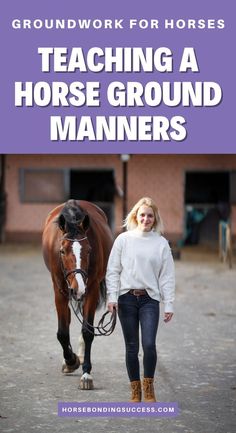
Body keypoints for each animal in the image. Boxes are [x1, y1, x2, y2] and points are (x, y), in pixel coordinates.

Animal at [42, 198, 114, 388]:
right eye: (62, 251)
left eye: (88, 250)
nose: (78, 288)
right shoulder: (59, 291)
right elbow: (62, 332)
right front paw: (70, 361)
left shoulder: (92, 289)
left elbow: (88, 331)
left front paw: (86, 374)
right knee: (67, 318)